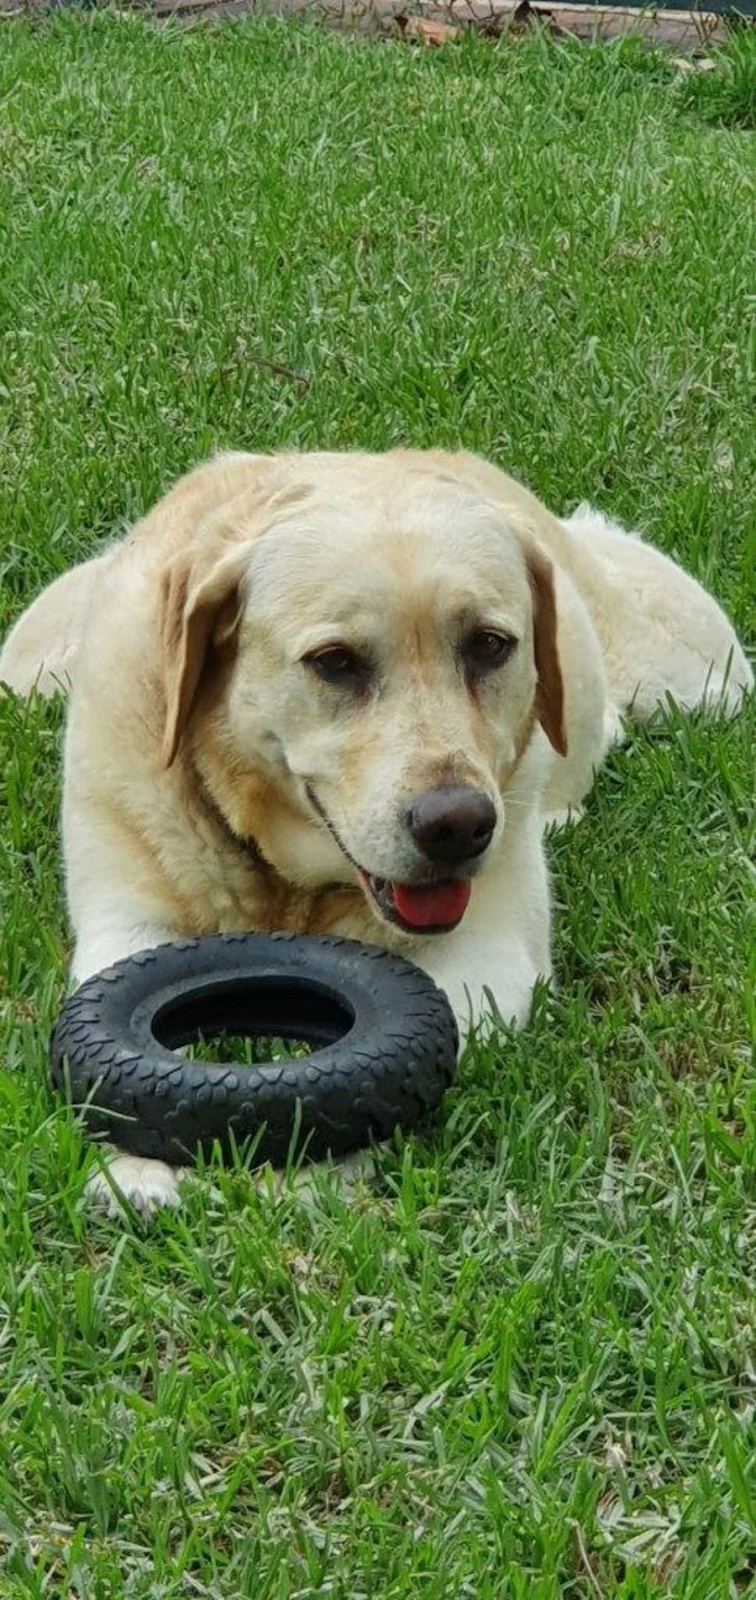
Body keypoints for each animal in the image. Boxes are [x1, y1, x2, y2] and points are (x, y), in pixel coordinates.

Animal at [2, 451, 752, 1209]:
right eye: (335, 662)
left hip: (706, 679)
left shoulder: (486, 957)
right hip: (30, 661)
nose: (458, 827)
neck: (292, 887)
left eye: (490, 646)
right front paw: (136, 1167)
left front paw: (295, 1172)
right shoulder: (126, 931)